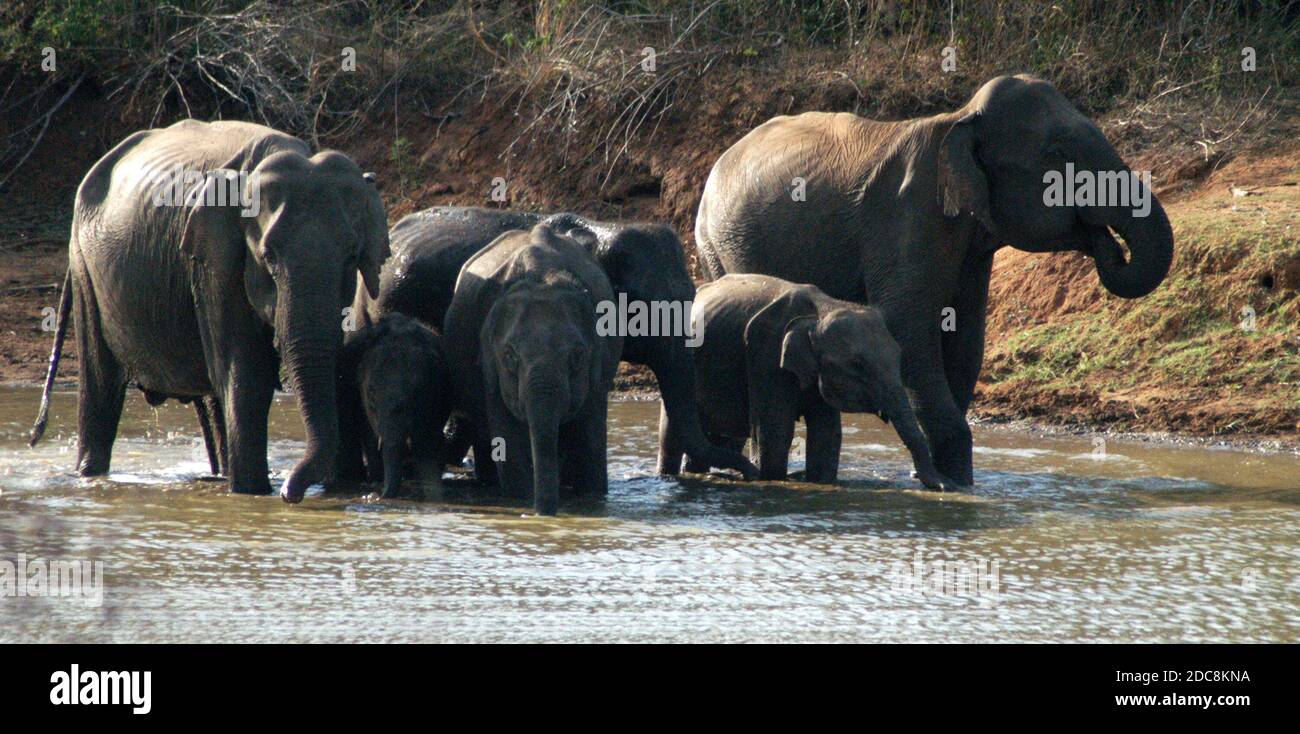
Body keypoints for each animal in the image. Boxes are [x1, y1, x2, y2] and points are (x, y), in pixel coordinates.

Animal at [27, 118, 384, 504]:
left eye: (352, 256)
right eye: (268, 256)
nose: (291, 493)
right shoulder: (216, 259)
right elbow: (248, 375)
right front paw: (253, 495)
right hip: (84, 267)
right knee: (100, 384)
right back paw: (91, 476)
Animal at [665, 271, 951, 488]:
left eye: (898, 357)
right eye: (857, 366)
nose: (944, 485)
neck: (823, 310)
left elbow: (827, 435)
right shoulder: (765, 355)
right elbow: (774, 433)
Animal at [702, 75, 1180, 485]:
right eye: (1058, 153)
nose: (1104, 240)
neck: (961, 120)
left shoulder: (968, 241)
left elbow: (965, 341)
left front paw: (951, 481)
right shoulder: (906, 216)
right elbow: (910, 330)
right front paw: (954, 485)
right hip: (715, 248)